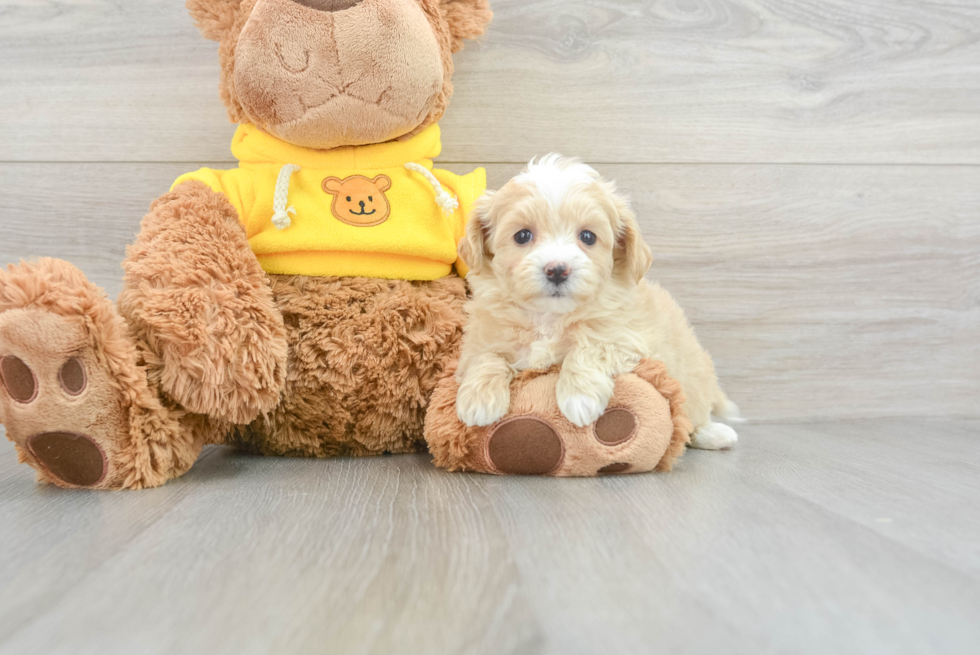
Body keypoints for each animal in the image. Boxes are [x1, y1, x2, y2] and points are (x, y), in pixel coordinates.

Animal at [456, 155, 740, 452]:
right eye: (522, 236)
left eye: (588, 237)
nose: (557, 270)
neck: (549, 318)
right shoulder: (480, 341)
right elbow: (487, 356)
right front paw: (478, 400)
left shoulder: (630, 339)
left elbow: (590, 347)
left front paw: (579, 398)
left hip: (692, 374)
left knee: (694, 412)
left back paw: (715, 434)